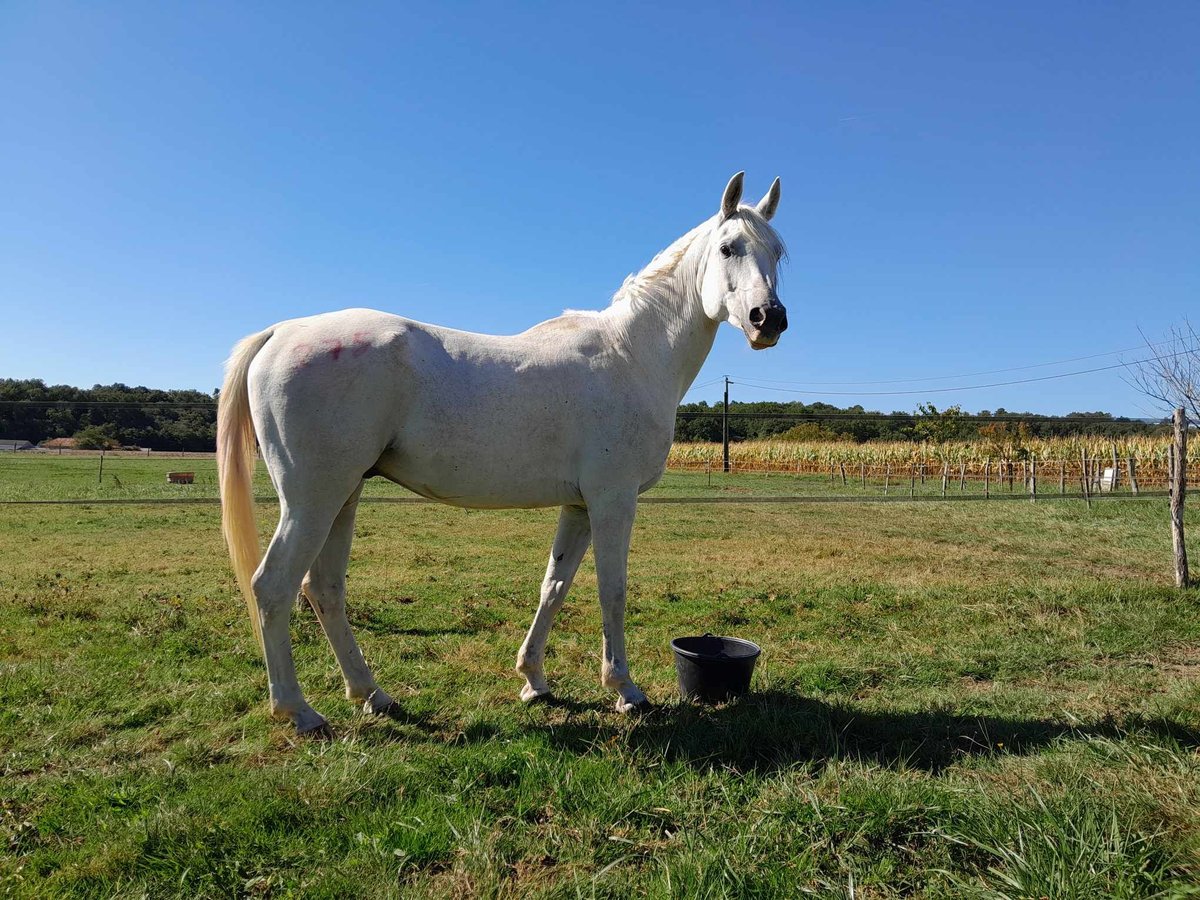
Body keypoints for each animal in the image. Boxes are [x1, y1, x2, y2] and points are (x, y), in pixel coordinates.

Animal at [220, 172, 792, 734]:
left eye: (778, 252)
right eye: (728, 247)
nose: (769, 319)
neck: (632, 355)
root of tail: (281, 332)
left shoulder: (579, 506)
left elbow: (554, 585)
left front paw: (533, 680)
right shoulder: (613, 500)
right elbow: (612, 590)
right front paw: (625, 690)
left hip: (344, 494)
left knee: (325, 589)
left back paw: (372, 695)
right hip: (313, 500)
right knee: (273, 587)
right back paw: (298, 710)